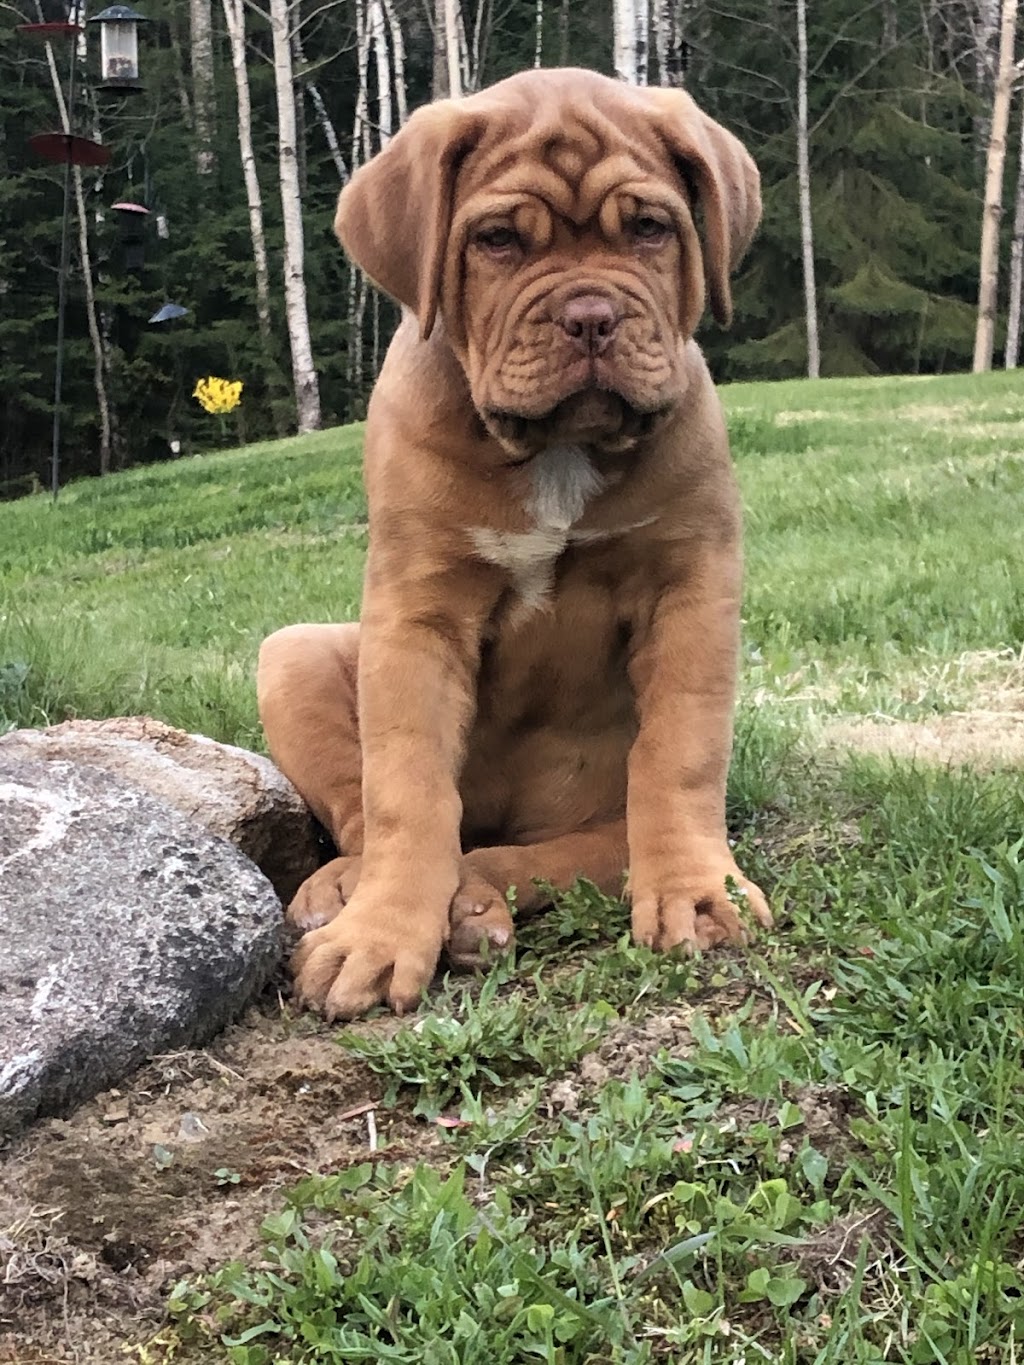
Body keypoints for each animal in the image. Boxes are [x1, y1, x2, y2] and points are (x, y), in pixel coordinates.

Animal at [256, 69, 770, 1021]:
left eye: (650, 227)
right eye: (496, 240)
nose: (591, 315)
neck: (556, 451)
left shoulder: (692, 584)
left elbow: (681, 752)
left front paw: (697, 892)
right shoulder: (416, 614)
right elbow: (407, 790)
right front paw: (379, 934)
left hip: (591, 820)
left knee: (534, 854)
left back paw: (471, 906)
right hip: (293, 653)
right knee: (372, 814)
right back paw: (348, 893)